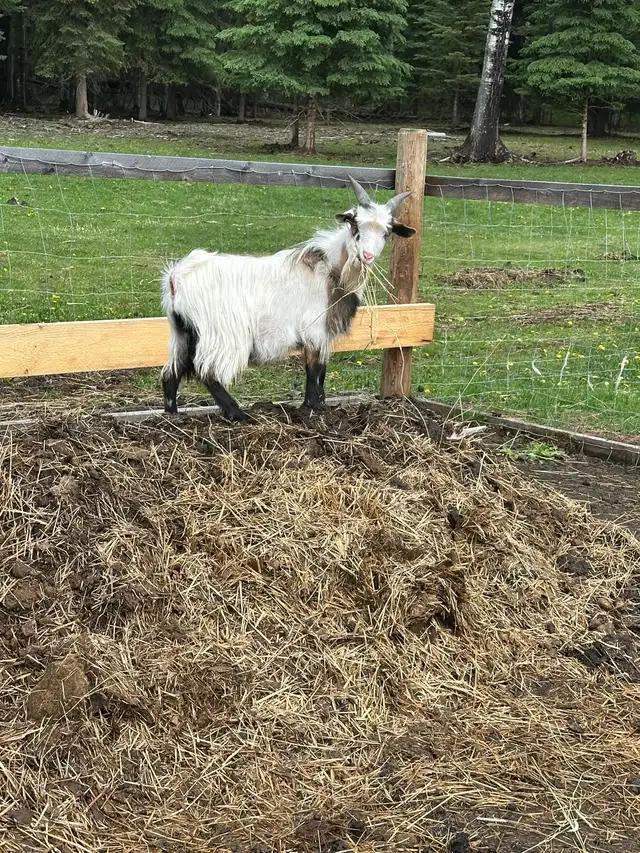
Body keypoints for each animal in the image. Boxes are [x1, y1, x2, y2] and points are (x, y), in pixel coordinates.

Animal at [160, 176, 415, 420]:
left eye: (386, 232)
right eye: (355, 226)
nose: (367, 256)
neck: (331, 271)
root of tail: (176, 277)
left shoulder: (323, 336)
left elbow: (321, 373)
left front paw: (318, 406)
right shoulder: (314, 331)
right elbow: (313, 372)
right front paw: (312, 409)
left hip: (183, 332)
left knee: (172, 372)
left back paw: (172, 415)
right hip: (223, 334)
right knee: (208, 372)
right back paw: (237, 414)